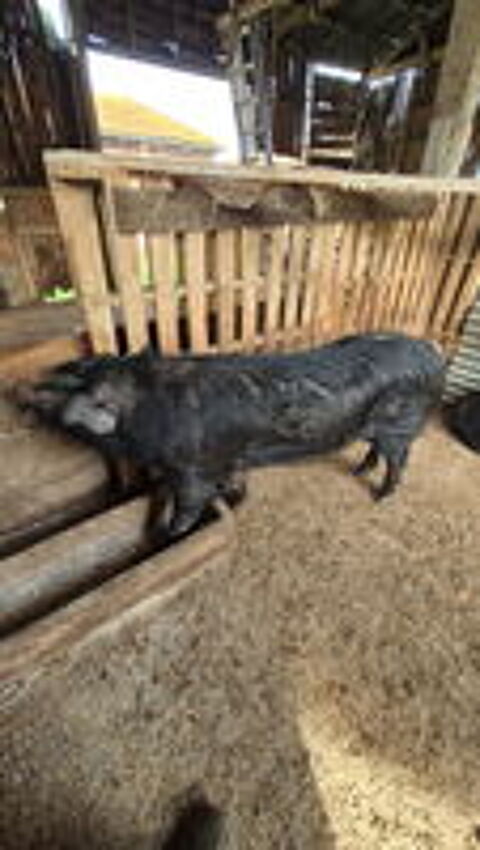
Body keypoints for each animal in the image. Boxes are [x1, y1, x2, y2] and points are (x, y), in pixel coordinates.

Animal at [19, 332, 444, 543]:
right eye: (72, 367)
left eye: (65, 393)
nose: (24, 386)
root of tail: (432, 354)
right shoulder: (224, 459)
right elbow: (230, 485)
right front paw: (233, 499)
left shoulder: (191, 470)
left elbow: (188, 506)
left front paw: (166, 534)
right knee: (375, 450)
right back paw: (359, 472)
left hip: (401, 424)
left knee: (399, 461)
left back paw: (379, 496)